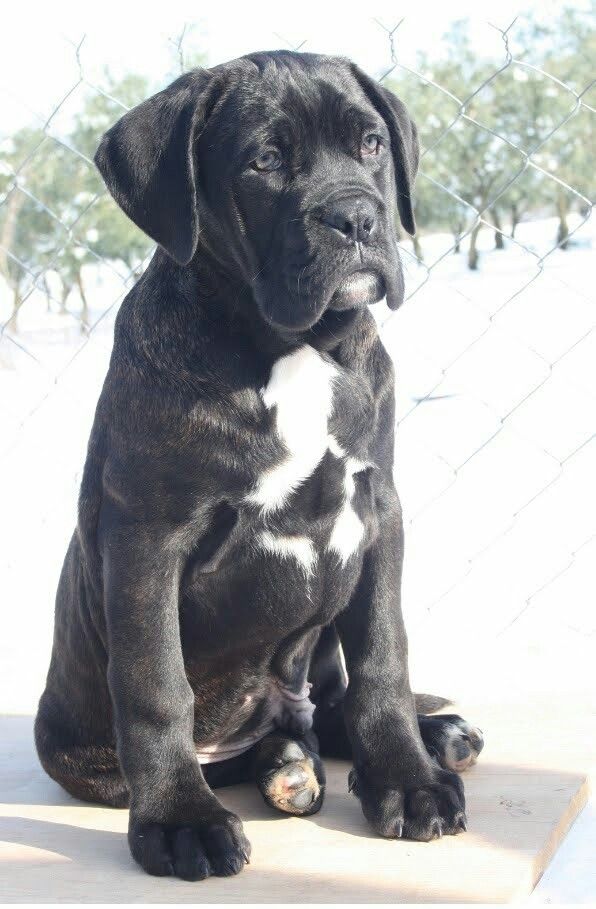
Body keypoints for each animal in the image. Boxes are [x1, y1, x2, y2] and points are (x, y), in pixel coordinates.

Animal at [35, 49, 484, 880]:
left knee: (331, 705)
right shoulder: (146, 538)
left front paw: (408, 779)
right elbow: (155, 684)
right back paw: (282, 767)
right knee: (262, 733)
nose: (357, 217)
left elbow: (384, 656)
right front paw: (179, 820)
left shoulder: (378, 513)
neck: (295, 343)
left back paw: (422, 738)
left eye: (371, 144)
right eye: (264, 162)